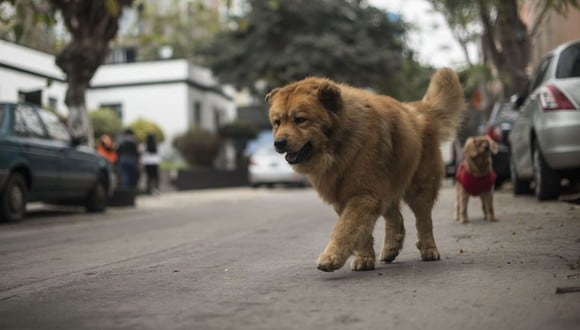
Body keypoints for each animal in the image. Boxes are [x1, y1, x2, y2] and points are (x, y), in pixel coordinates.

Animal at [268, 68, 466, 272]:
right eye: (277, 122)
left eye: (300, 120)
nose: (278, 142)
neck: (338, 146)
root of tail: (418, 109)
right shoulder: (347, 197)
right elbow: (360, 232)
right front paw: (364, 258)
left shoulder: (363, 193)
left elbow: (345, 227)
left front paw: (331, 257)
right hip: (387, 188)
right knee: (396, 219)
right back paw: (391, 248)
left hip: (420, 189)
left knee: (424, 221)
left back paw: (429, 249)